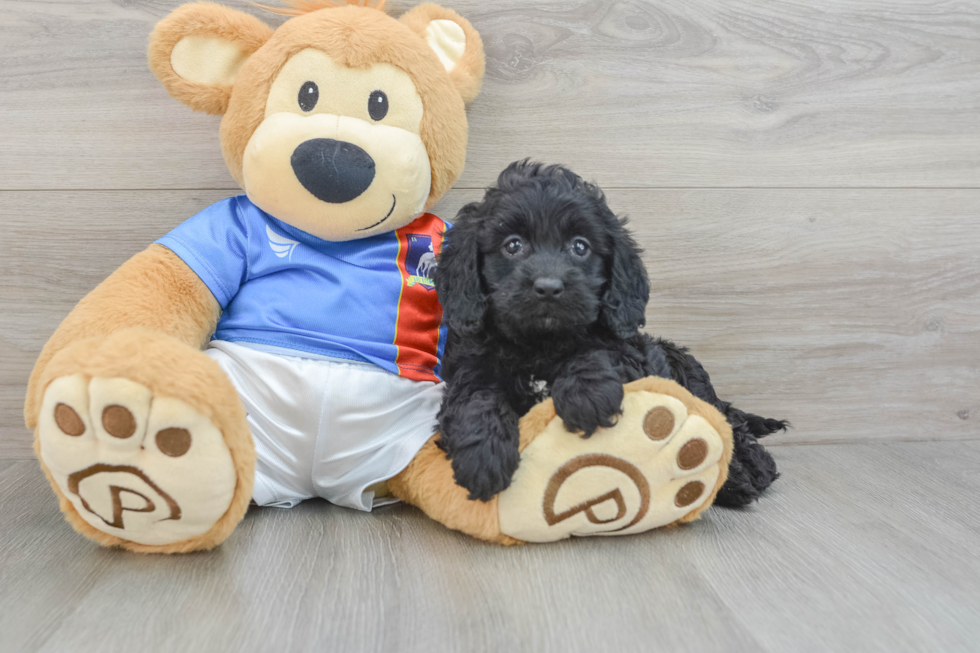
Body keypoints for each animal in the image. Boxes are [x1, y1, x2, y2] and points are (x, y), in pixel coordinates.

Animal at [432, 159, 784, 504]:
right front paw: (483, 456)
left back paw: (747, 471)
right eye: (513, 245)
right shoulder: (469, 366)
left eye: (580, 247)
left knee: (726, 422)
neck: (541, 344)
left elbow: (599, 349)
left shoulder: (630, 354)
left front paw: (586, 396)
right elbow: (476, 397)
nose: (548, 288)